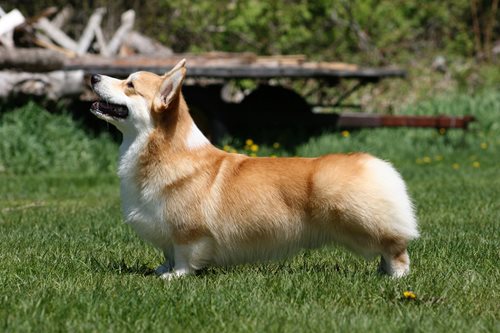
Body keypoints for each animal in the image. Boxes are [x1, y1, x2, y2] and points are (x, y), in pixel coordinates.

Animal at [90, 59, 418, 278]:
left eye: (130, 85)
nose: (93, 76)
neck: (162, 151)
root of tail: (375, 164)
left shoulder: (188, 233)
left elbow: (183, 257)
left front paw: (174, 277)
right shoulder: (165, 233)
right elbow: (167, 252)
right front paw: (161, 269)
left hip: (360, 224)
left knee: (396, 248)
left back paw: (396, 277)